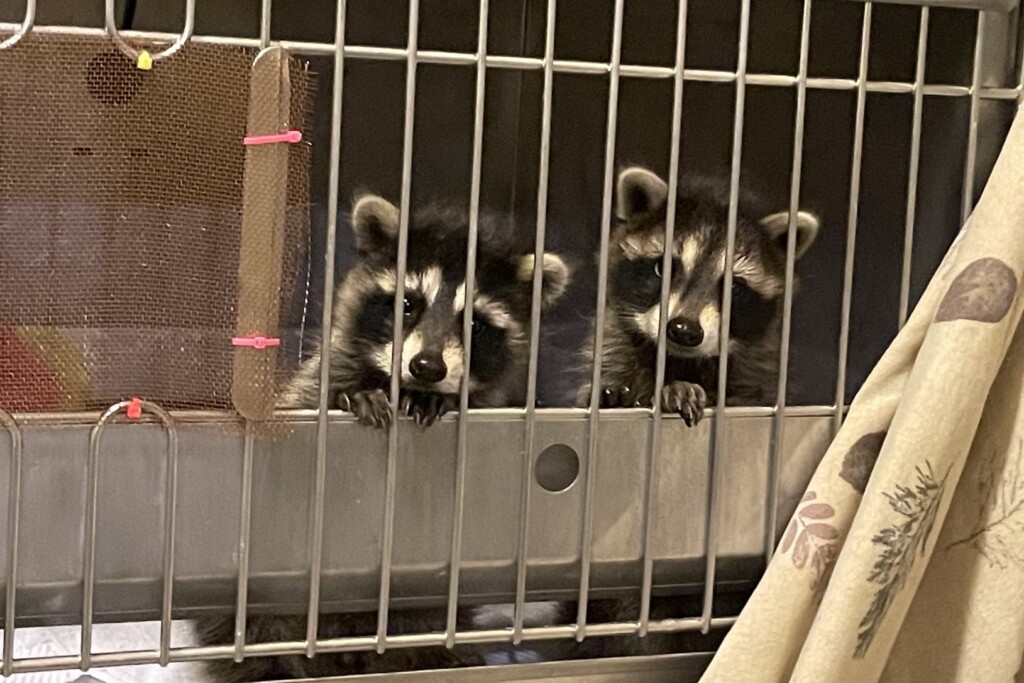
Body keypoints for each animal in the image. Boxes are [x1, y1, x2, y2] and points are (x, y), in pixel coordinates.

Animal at [195, 192, 571, 681]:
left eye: (474, 324)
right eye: (408, 303)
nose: (427, 367)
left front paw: (435, 399)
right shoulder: (319, 376)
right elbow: (310, 402)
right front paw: (357, 395)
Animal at [576, 165, 820, 424]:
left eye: (734, 287)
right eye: (663, 269)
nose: (684, 330)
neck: (680, 360)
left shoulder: (755, 379)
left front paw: (677, 389)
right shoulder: (613, 348)